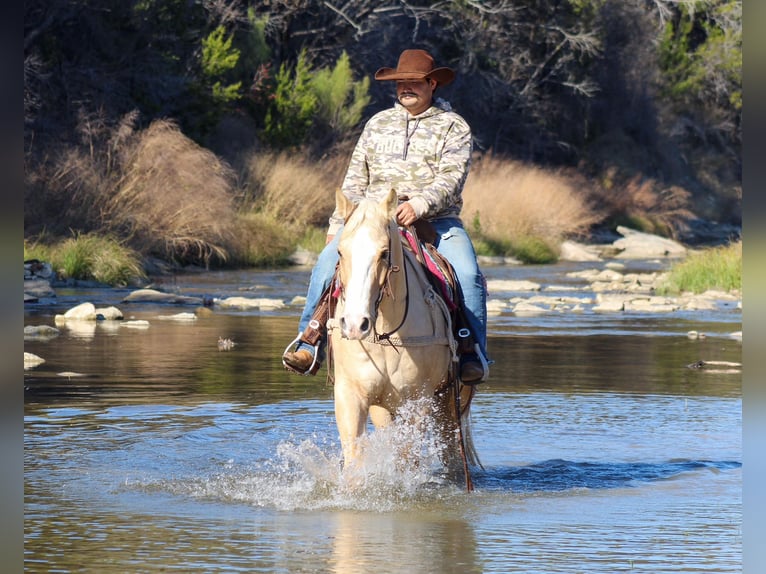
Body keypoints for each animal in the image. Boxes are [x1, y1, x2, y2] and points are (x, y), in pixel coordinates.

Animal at [327, 187, 479, 490]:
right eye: (340, 251)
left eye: (384, 253)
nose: (355, 325)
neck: (386, 332)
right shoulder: (350, 394)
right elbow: (354, 458)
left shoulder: (416, 402)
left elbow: (406, 459)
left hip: (450, 403)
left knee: (451, 454)